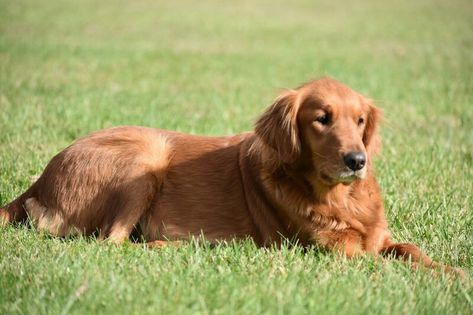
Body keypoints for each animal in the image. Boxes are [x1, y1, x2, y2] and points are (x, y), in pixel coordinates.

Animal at [0, 78, 460, 276]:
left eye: (360, 120)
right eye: (321, 119)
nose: (356, 160)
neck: (337, 197)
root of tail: (38, 180)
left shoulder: (379, 238)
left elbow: (412, 252)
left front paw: (453, 272)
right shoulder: (336, 252)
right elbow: (388, 266)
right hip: (147, 155)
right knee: (111, 243)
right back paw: (187, 245)